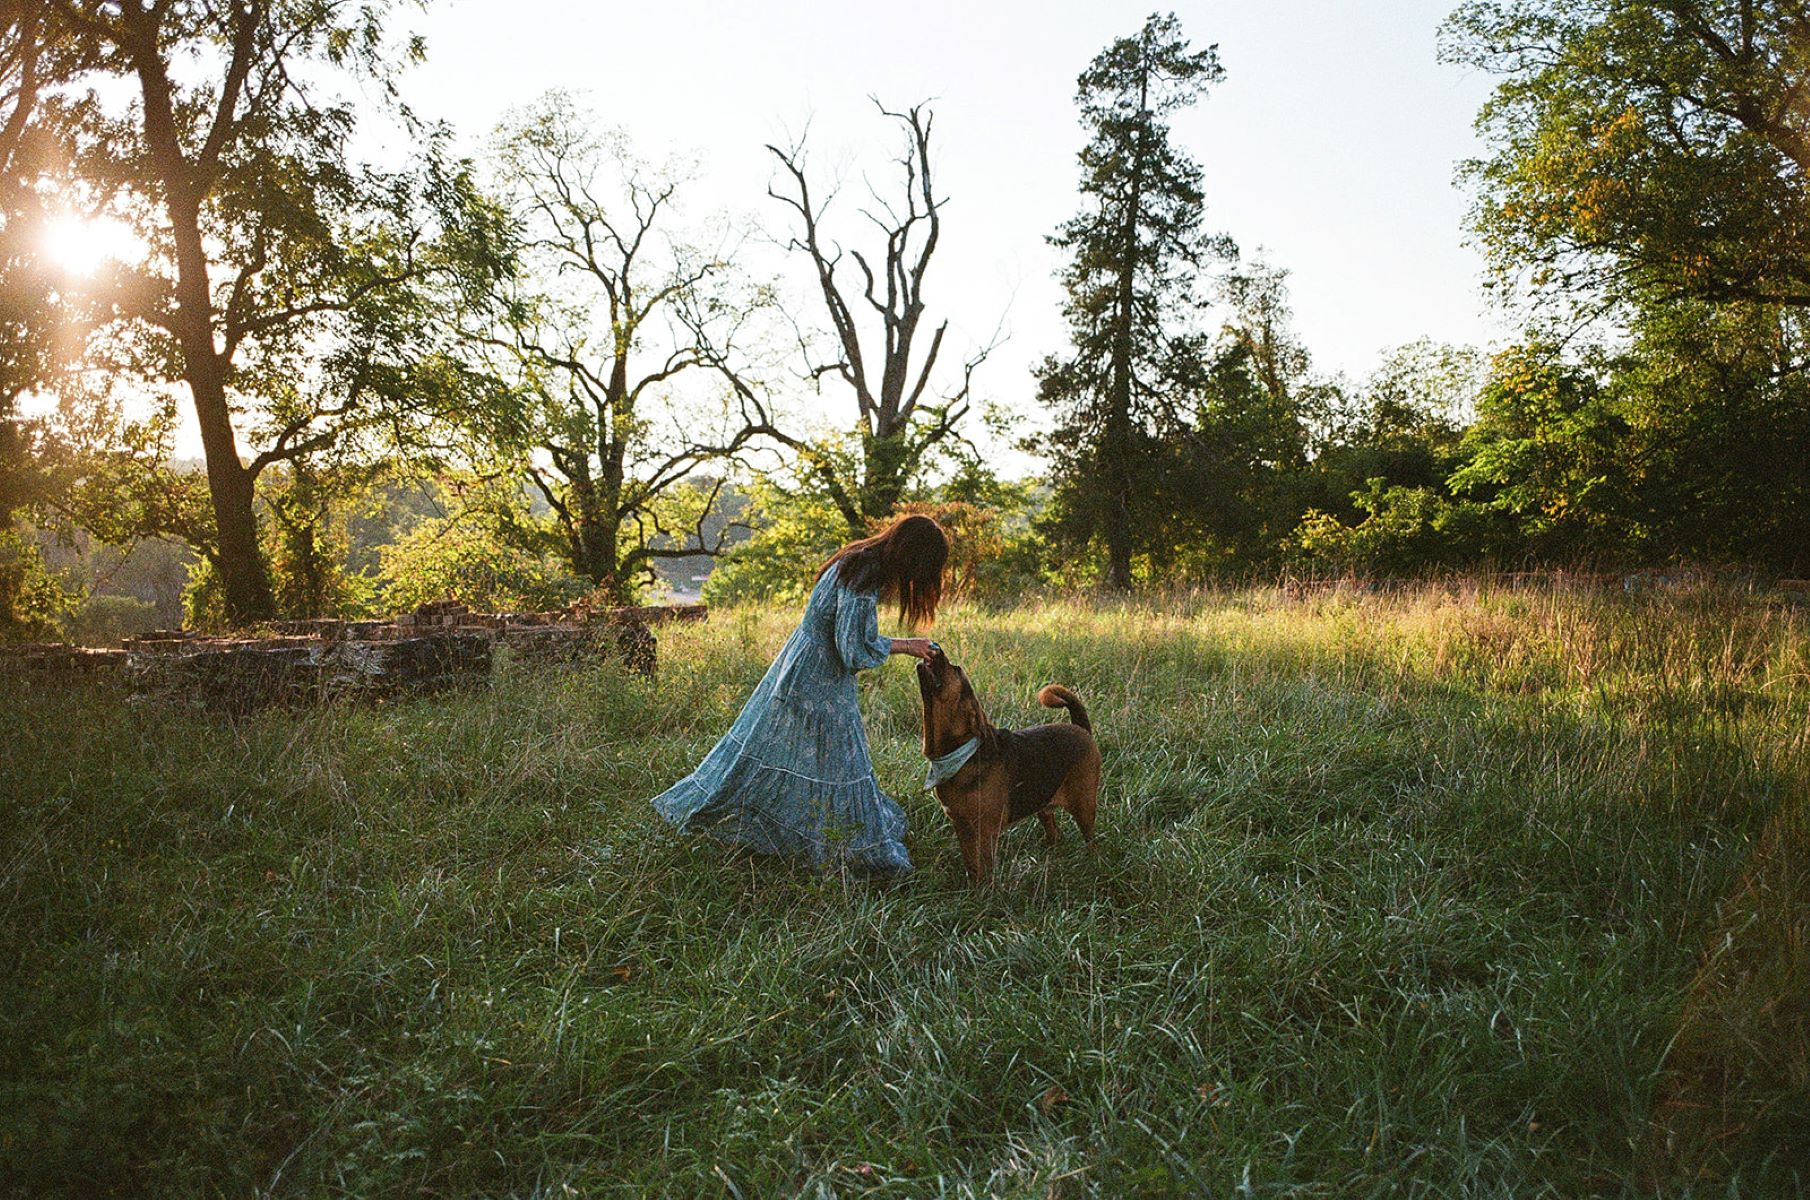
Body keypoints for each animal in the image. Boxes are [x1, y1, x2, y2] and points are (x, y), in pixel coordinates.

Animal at [912, 647, 1093, 883]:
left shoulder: (985, 832)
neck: (960, 753)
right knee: (1055, 834)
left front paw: (985, 891)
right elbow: (972, 867)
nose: (938, 649)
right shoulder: (962, 828)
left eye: (956, 669)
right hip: (1043, 809)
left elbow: (985, 871)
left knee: (1091, 841)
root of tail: (1081, 729)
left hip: (1085, 808)